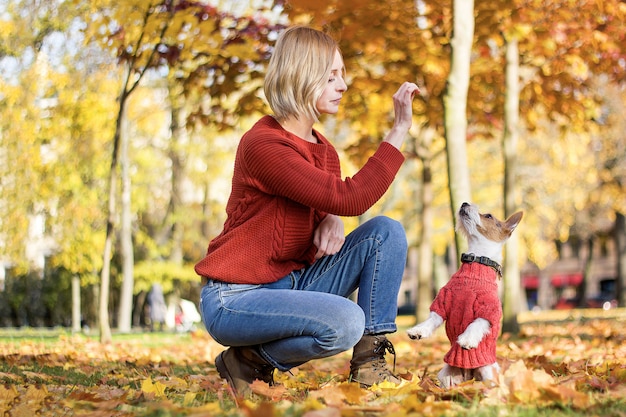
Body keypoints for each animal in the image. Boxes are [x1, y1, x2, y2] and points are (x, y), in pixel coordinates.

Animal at [408, 202, 520, 386]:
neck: (476, 261)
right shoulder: (443, 300)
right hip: (445, 374)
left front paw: (467, 339)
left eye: (488, 216)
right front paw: (418, 330)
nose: (465, 203)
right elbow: (432, 319)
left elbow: (476, 324)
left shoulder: (489, 309)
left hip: (488, 372)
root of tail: (469, 376)